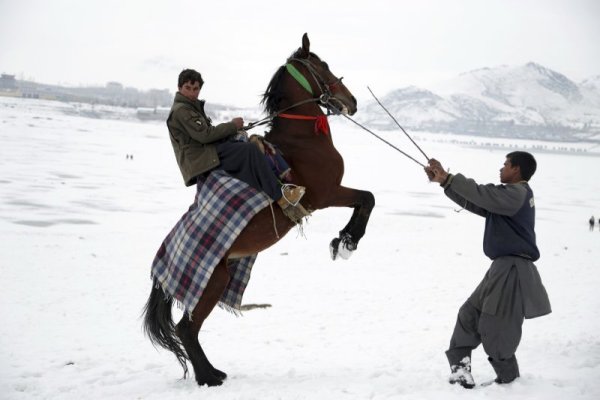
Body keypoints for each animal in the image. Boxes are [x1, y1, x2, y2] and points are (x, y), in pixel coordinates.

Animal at [142, 32, 372, 390]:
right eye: (323, 65)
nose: (351, 101)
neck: (301, 141)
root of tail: (161, 265)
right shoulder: (327, 193)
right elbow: (367, 198)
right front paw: (347, 241)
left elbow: (366, 199)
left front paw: (344, 241)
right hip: (212, 283)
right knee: (186, 329)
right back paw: (209, 377)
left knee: (188, 329)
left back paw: (212, 372)